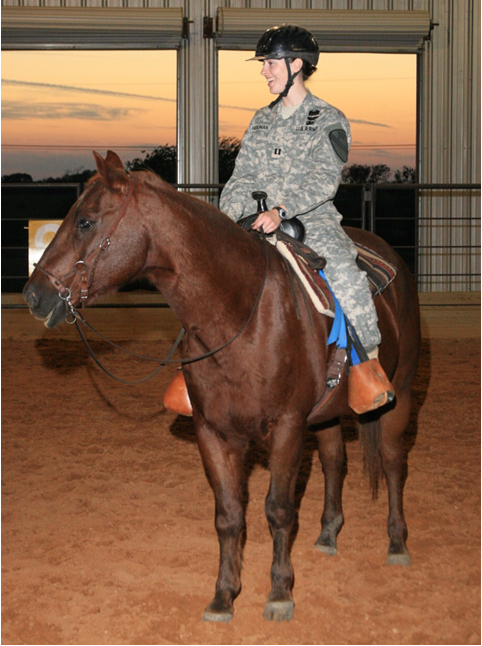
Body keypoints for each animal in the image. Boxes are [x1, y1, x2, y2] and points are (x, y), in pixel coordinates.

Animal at [23, 149, 422, 624]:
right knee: (334, 462)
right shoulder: (212, 432)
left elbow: (278, 510)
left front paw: (280, 593)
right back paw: (328, 534)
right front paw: (224, 595)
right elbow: (229, 515)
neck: (239, 312)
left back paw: (397, 542)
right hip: (325, 415)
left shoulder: (287, 429)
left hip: (399, 394)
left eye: (85, 221)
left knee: (394, 463)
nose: (33, 295)